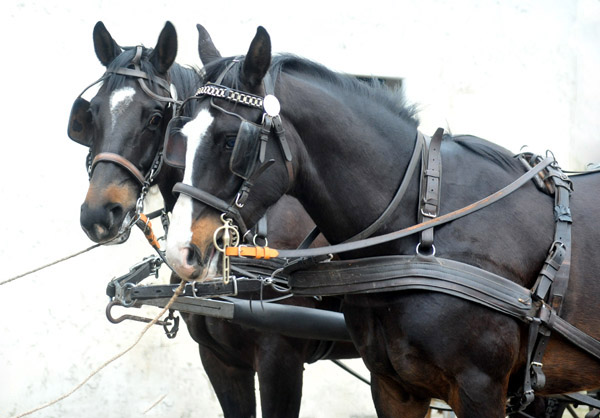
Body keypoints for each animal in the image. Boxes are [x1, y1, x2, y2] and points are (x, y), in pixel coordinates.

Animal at [164, 27, 600, 418]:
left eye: (230, 140)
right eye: (178, 133)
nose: (180, 252)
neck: (424, 232)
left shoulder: (480, 387)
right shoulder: (394, 387)